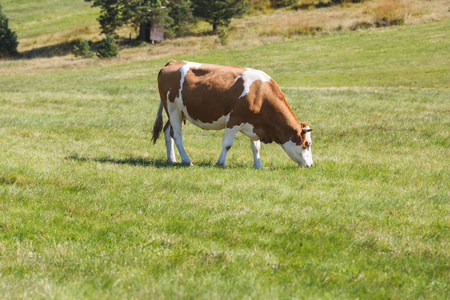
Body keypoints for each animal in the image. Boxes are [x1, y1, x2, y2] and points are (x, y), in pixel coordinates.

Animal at [151, 59, 312, 169]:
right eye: (307, 144)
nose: (310, 165)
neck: (260, 93)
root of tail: (173, 62)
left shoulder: (254, 124)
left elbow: (256, 147)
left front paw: (259, 165)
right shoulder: (234, 120)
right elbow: (227, 144)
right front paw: (220, 162)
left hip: (177, 111)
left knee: (168, 131)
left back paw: (172, 159)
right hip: (173, 109)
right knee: (178, 135)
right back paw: (186, 160)